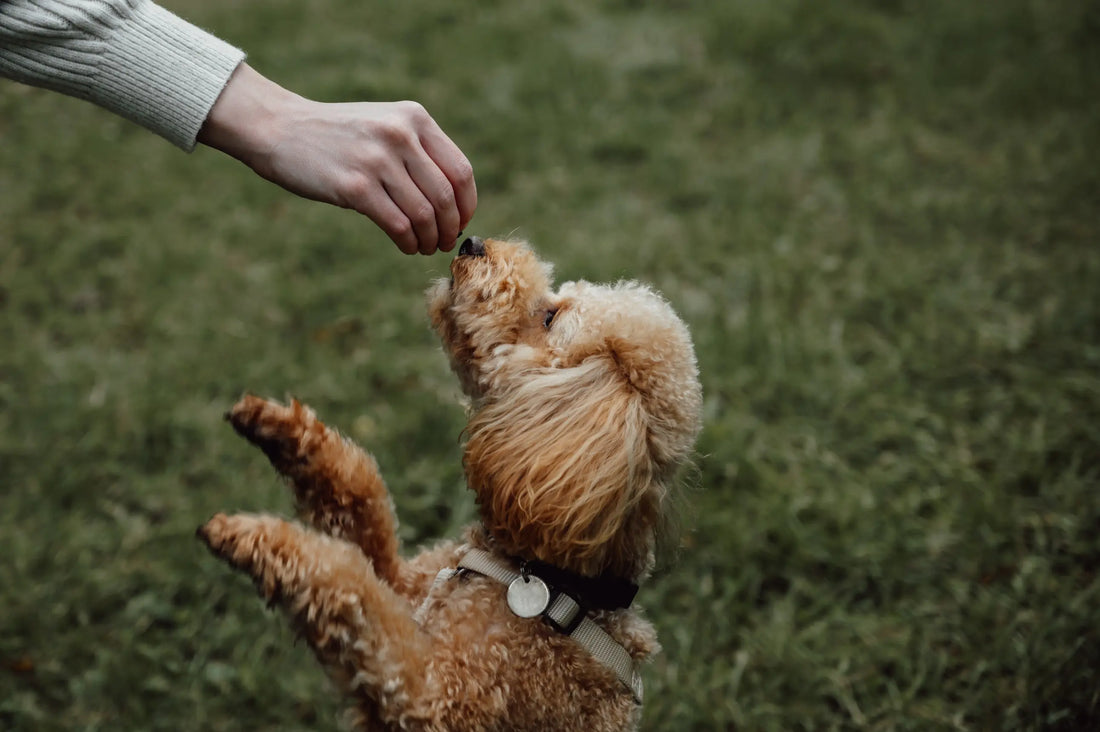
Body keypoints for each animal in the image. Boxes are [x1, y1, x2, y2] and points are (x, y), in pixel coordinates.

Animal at [199, 236, 704, 726]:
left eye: (549, 317)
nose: (472, 242)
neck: (548, 577)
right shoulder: (409, 585)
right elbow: (363, 498)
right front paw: (280, 429)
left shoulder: (438, 696)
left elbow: (352, 586)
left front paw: (249, 534)